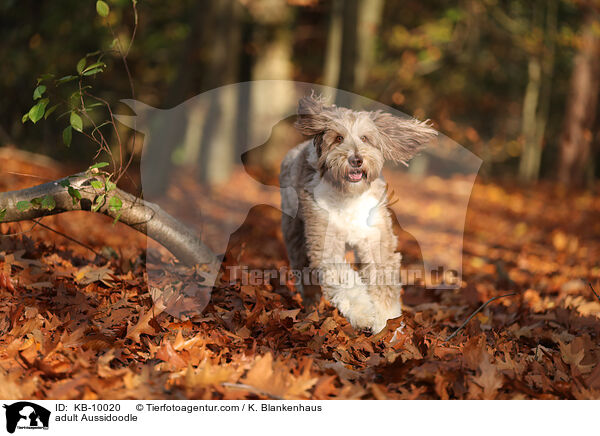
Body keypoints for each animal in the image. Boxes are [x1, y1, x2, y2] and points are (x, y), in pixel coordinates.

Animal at [282, 95, 436, 332]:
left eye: (365, 138)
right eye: (338, 138)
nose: (356, 159)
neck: (350, 196)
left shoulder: (376, 238)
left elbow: (382, 281)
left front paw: (387, 323)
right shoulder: (326, 240)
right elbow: (343, 278)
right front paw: (364, 315)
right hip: (295, 231)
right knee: (302, 267)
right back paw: (310, 304)